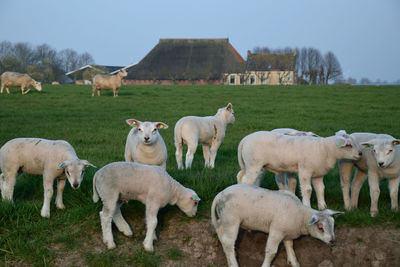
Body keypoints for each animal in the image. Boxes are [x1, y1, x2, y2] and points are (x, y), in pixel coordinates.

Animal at [211, 185, 342, 267]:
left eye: (333, 225)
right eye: (320, 228)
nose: (333, 241)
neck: (300, 215)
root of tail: (220, 194)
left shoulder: (287, 232)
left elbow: (290, 246)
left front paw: (294, 262)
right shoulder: (276, 231)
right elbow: (271, 252)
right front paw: (265, 265)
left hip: (225, 218)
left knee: (220, 229)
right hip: (231, 220)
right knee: (228, 242)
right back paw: (233, 263)